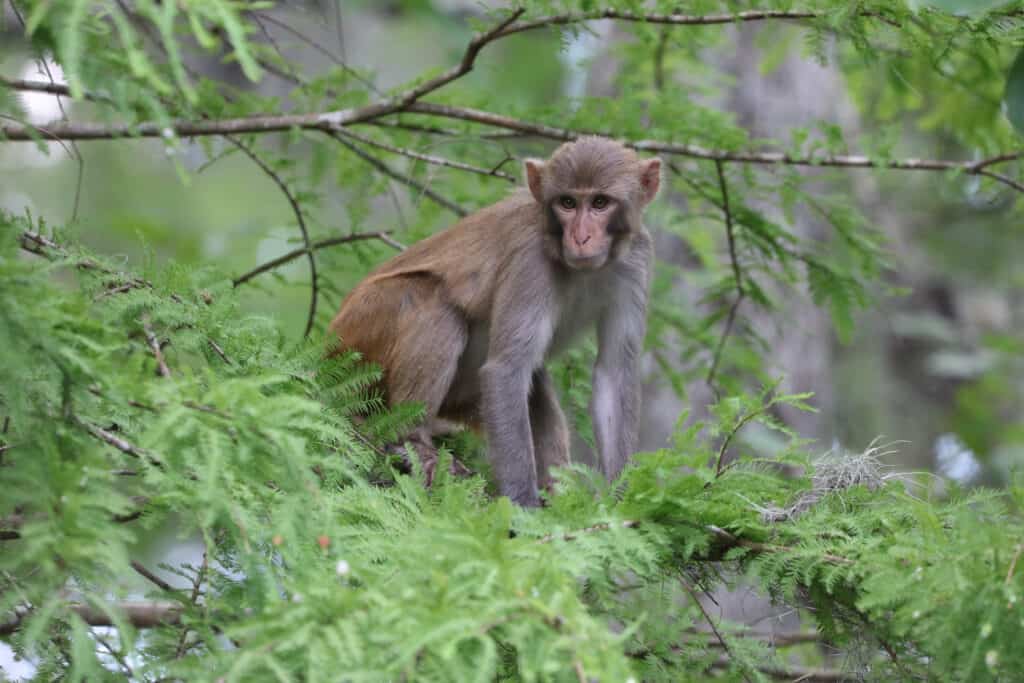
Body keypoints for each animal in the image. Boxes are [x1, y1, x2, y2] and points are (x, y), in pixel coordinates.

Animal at [329, 136, 661, 507]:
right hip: (359, 339)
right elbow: (506, 370)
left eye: (600, 203)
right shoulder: (531, 260)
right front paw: (522, 506)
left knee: (536, 378)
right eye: (568, 203)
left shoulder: (637, 259)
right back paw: (411, 442)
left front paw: (619, 499)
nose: (581, 237)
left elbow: (613, 372)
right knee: (432, 301)